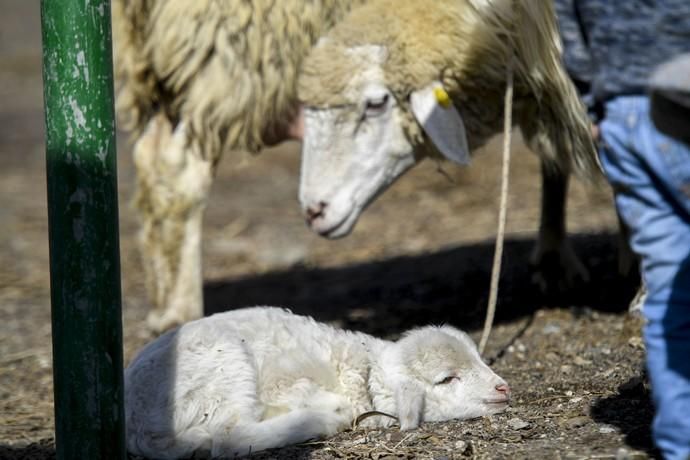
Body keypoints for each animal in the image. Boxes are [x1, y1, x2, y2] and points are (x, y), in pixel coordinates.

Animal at [125, 308, 510, 458]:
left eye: (479, 358)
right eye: (446, 379)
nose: (503, 389)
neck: (367, 372)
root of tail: (134, 423)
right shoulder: (284, 381)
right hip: (225, 364)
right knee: (229, 435)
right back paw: (323, 417)